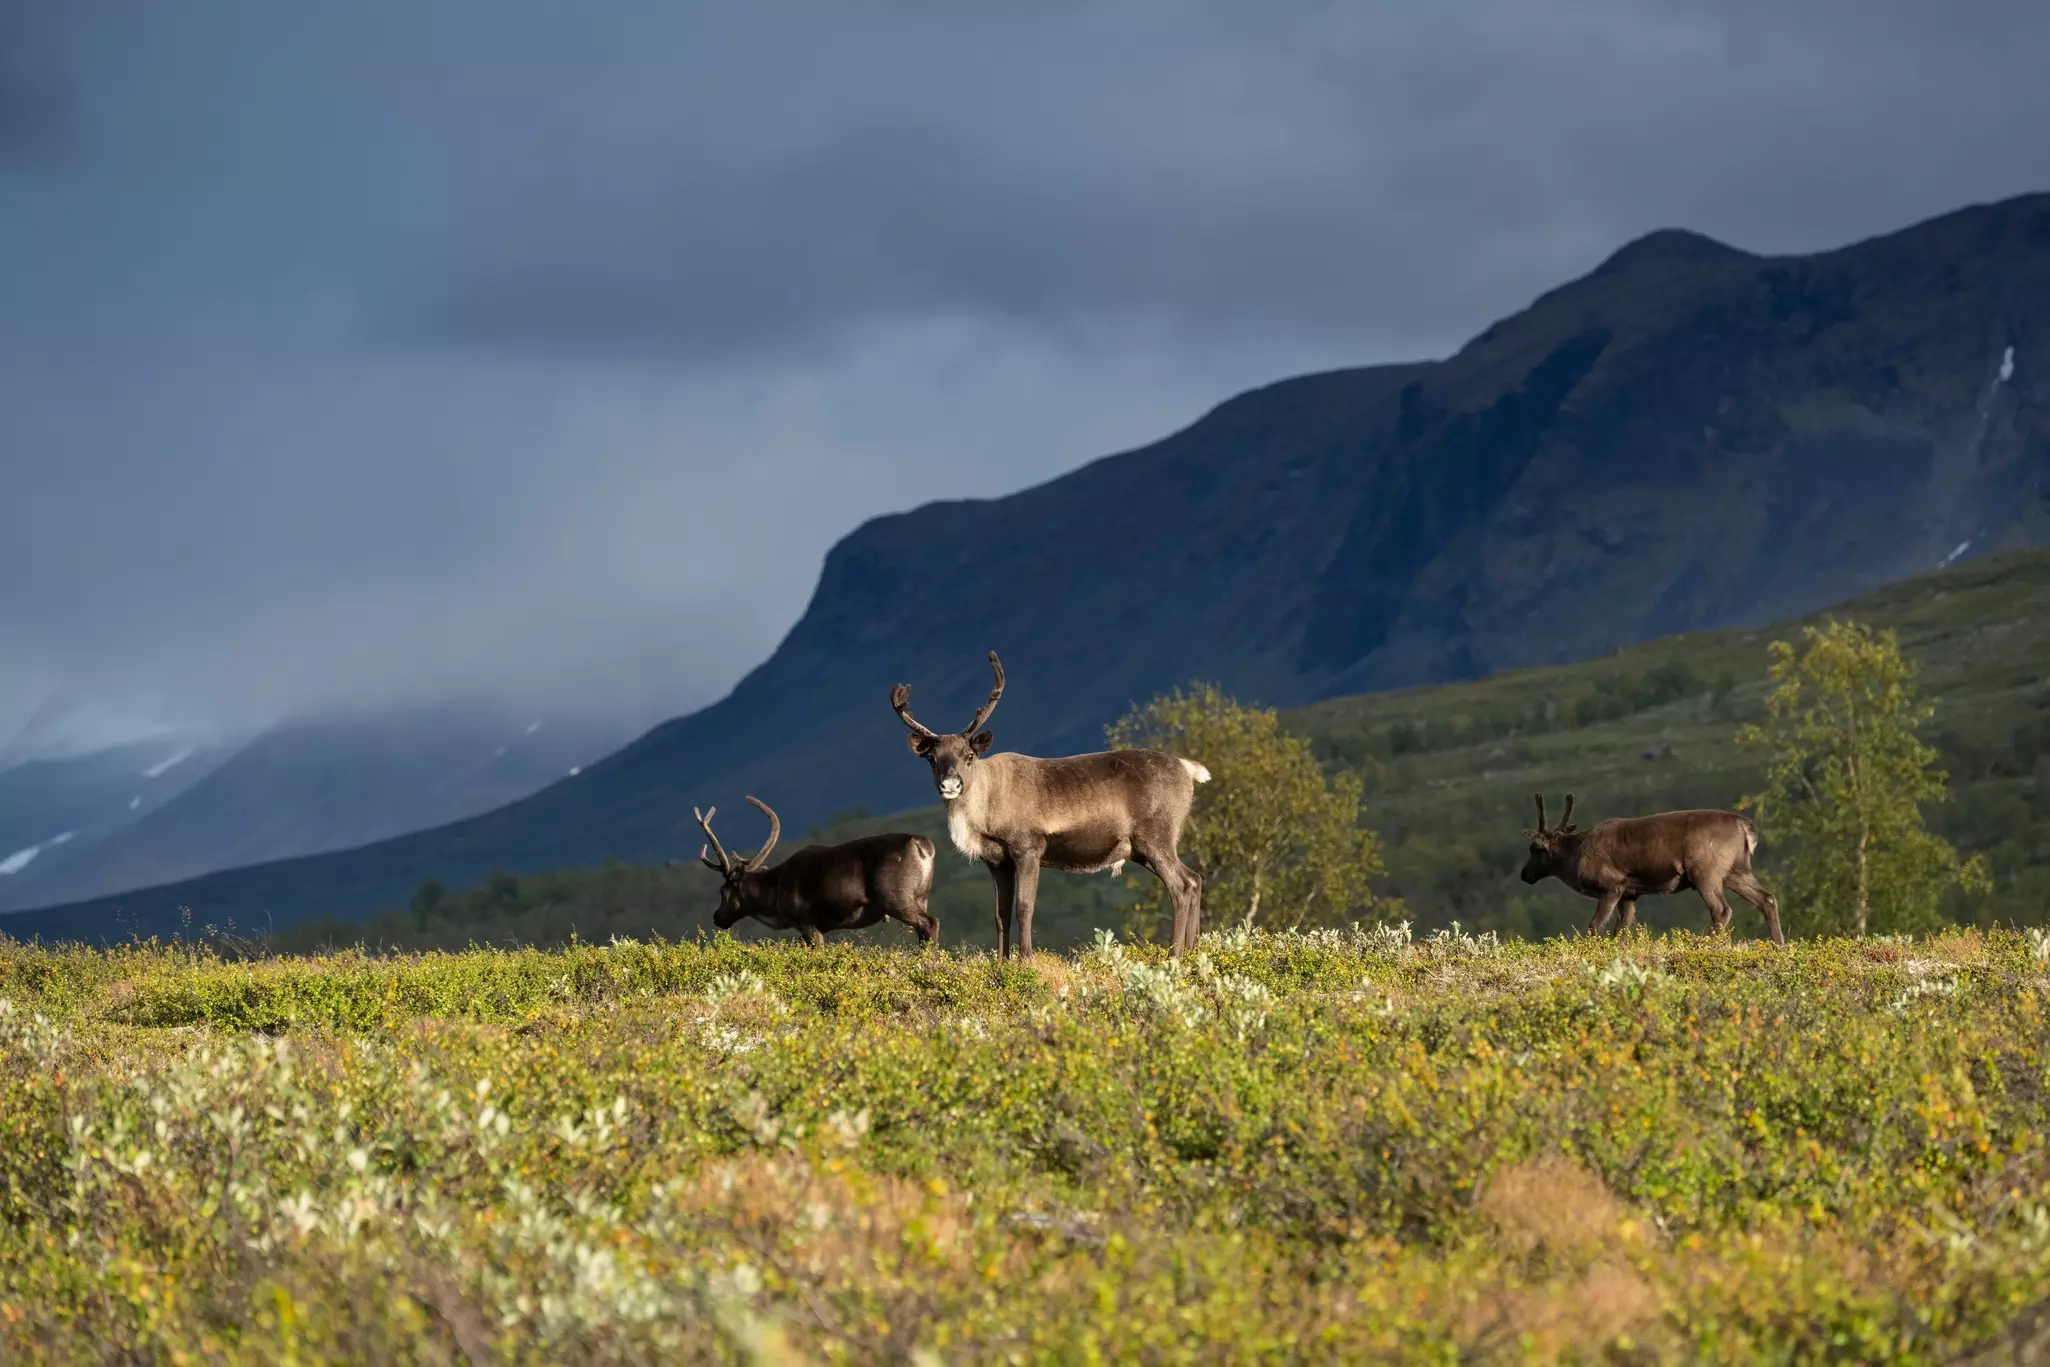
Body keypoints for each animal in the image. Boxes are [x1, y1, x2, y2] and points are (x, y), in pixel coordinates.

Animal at [681, 796, 940, 948]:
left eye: (723, 890)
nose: (717, 917)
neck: (774, 895)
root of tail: (924, 846)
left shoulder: (806, 922)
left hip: (896, 897)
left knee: (930, 922)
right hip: (921, 896)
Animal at [891, 651, 1210, 958]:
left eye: (968, 755)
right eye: (932, 758)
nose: (950, 784)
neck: (986, 807)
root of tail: (1188, 768)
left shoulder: (1028, 849)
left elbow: (1024, 907)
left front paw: (1026, 959)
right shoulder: (996, 861)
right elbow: (1000, 915)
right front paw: (1002, 961)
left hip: (1155, 837)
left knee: (1181, 886)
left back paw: (1175, 955)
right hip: (1140, 849)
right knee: (1194, 879)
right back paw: (1192, 953)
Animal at [1517, 792, 1785, 944]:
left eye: (1535, 849)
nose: (1524, 874)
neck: (1576, 857)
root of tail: (1748, 828)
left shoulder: (1612, 886)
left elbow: (1595, 927)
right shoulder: (1630, 893)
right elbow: (1621, 930)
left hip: (1705, 871)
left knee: (1721, 909)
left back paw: (1705, 945)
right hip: (1736, 870)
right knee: (1767, 899)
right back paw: (1779, 945)